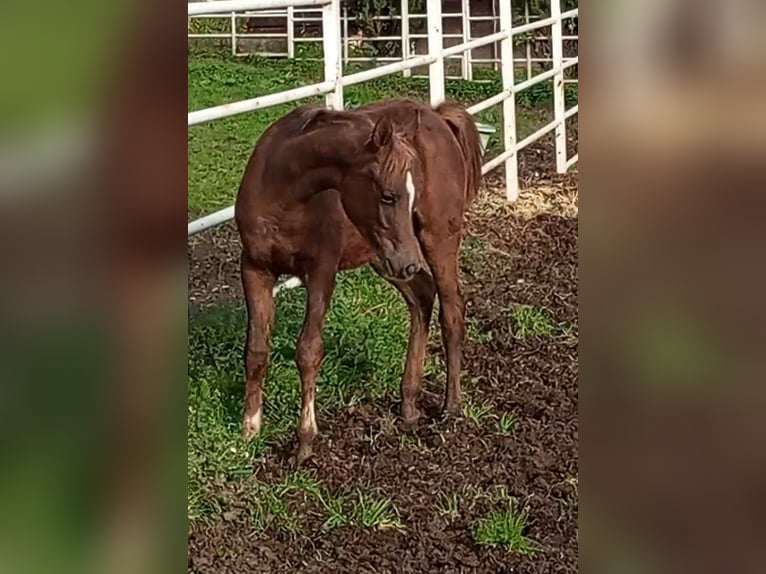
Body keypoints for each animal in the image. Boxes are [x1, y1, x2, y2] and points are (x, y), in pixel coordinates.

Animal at [237, 98, 484, 464]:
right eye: (388, 196)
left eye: (411, 195)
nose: (409, 262)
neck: (282, 195)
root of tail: (439, 117)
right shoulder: (254, 269)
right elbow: (256, 349)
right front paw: (249, 430)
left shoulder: (321, 272)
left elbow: (309, 350)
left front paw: (305, 442)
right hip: (383, 258)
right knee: (423, 295)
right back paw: (409, 404)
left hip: (434, 239)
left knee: (452, 310)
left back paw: (451, 407)